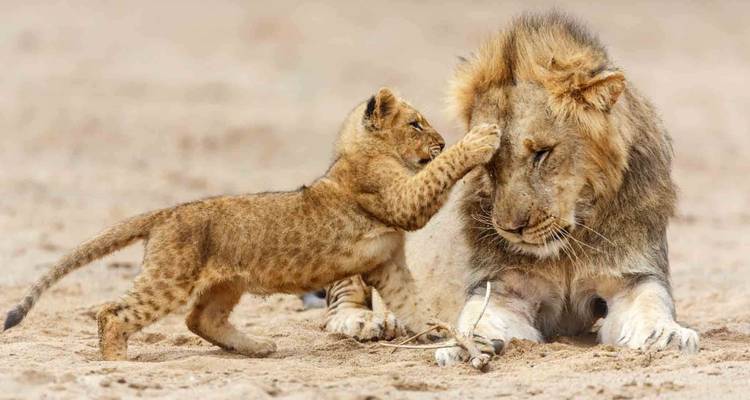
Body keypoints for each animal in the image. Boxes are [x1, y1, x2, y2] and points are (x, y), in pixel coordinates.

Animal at [2, 87, 501, 361]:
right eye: (416, 124)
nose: (440, 141)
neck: (357, 154)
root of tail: (168, 211)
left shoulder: (387, 264)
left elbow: (411, 302)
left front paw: (435, 332)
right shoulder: (399, 201)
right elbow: (436, 177)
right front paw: (482, 137)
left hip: (225, 283)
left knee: (199, 319)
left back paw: (258, 346)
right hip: (170, 277)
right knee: (113, 312)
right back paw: (117, 360)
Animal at [322, 12, 700, 365]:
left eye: (541, 153)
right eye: (488, 162)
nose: (511, 229)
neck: (566, 248)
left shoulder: (632, 277)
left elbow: (651, 304)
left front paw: (667, 335)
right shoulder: (502, 288)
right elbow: (478, 317)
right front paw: (465, 344)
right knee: (337, 302)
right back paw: (368, 322)